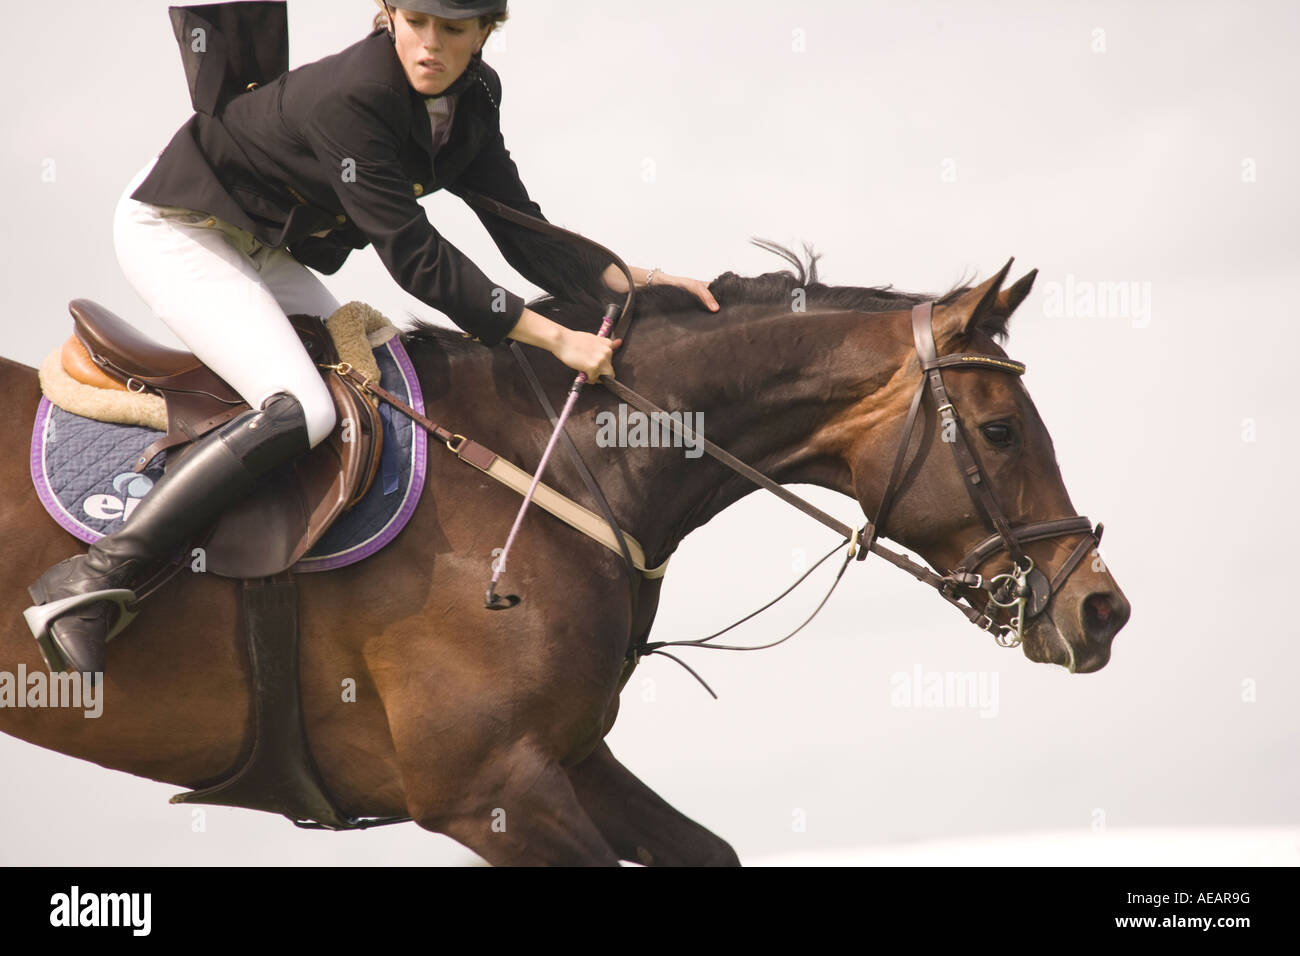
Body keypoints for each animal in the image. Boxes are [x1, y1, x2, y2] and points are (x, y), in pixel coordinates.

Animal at [0, 243, 1130, 865]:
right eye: (999, 432)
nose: (1101, 610)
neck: (564, 471)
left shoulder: (565, 758)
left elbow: (708, 850)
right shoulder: (491, 790)